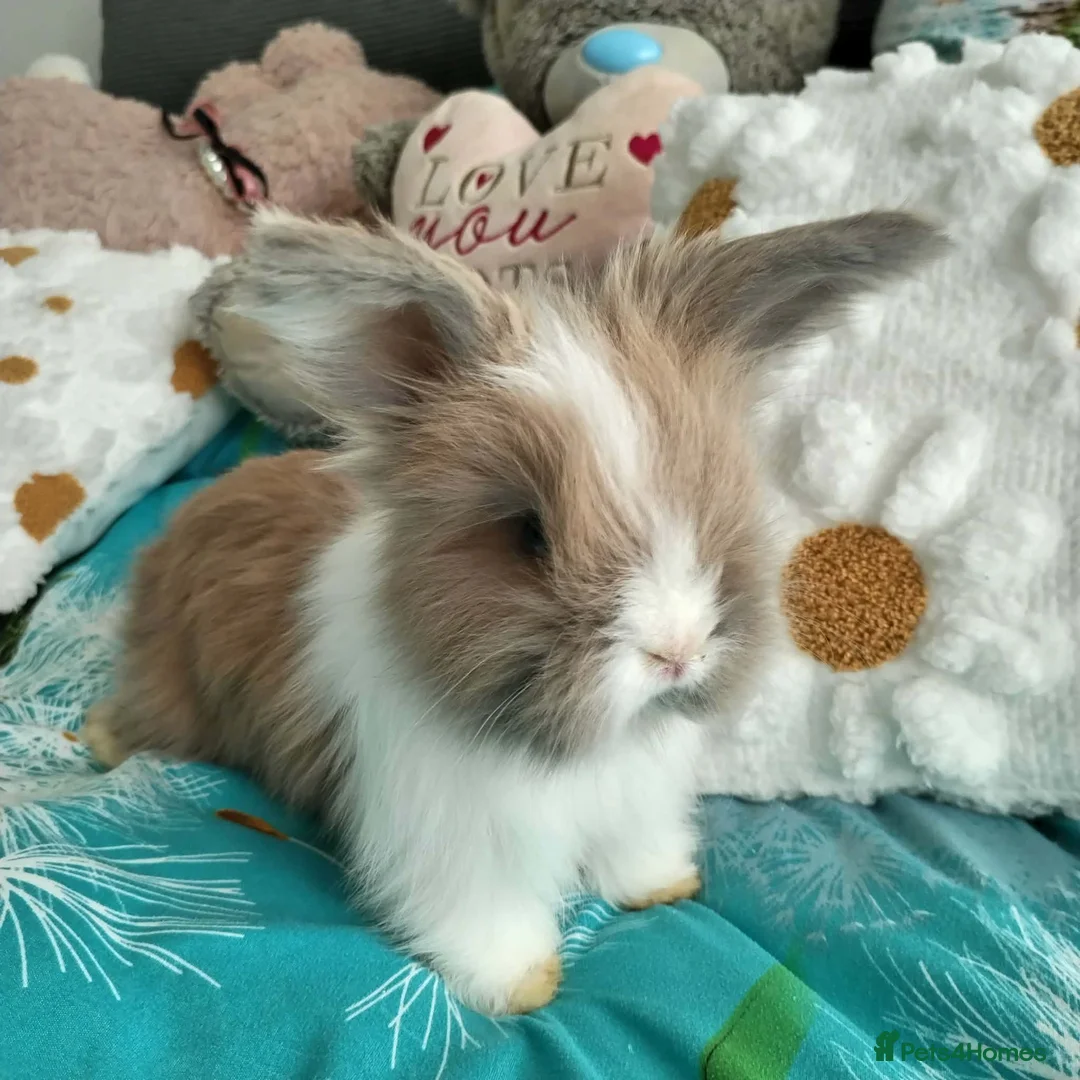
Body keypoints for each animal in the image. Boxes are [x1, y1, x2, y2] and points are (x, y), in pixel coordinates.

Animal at [83, 208, 945, 1015]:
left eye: (703, 501)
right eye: (528, 534)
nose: (675, 652)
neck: (584, 753)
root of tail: (192, 513)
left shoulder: (635, 800)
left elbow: (635, 852)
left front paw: (660, 886)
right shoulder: (455, 844)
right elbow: (484, 918)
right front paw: (520, 983)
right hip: (175, 686)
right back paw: (98, 738)